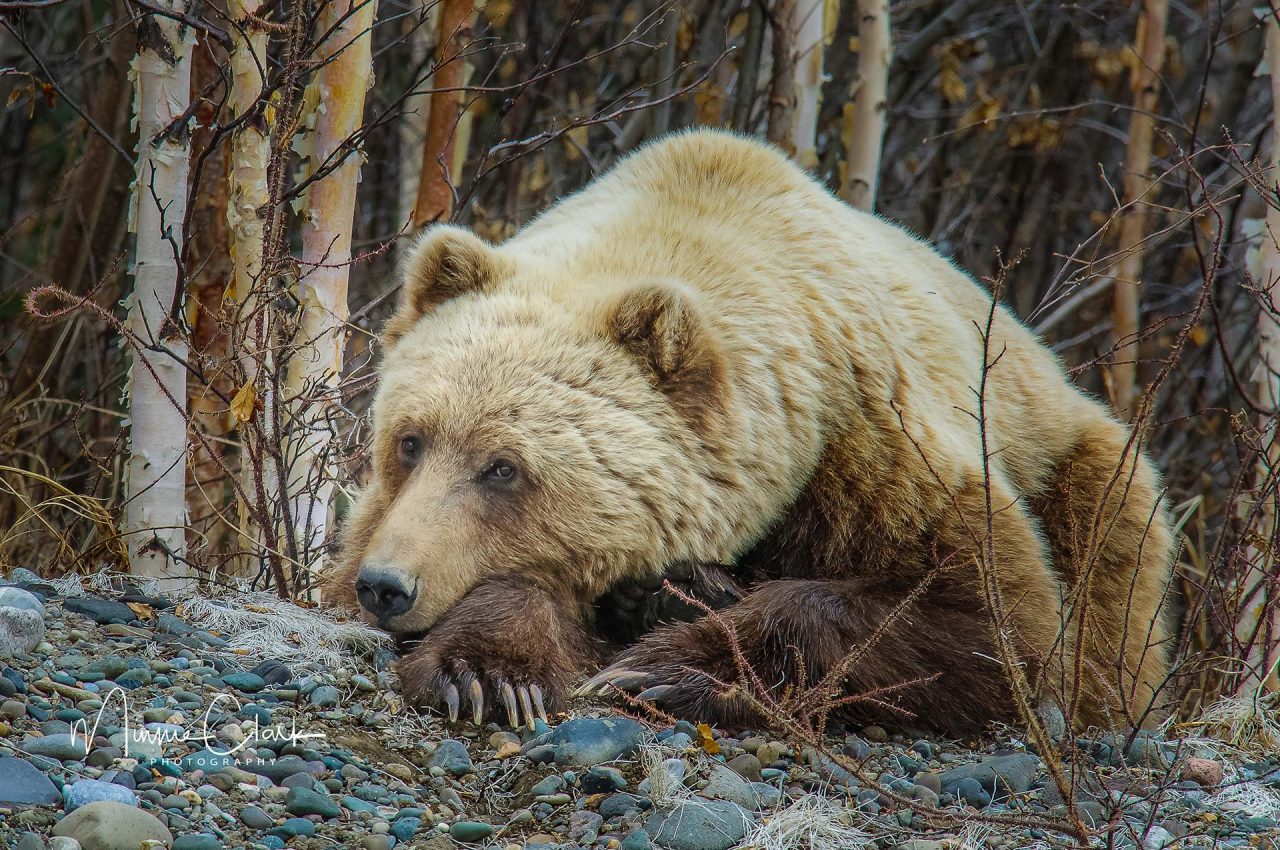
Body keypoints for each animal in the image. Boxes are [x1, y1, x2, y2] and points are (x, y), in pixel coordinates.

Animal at [330, 129, 1175, 735]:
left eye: (504, 467)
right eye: (410, 440)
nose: (388, 585)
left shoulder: (870, 451)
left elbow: (995, 622)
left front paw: (666, 669)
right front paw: (488, 676)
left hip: (1085, 468)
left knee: (1107, 586)